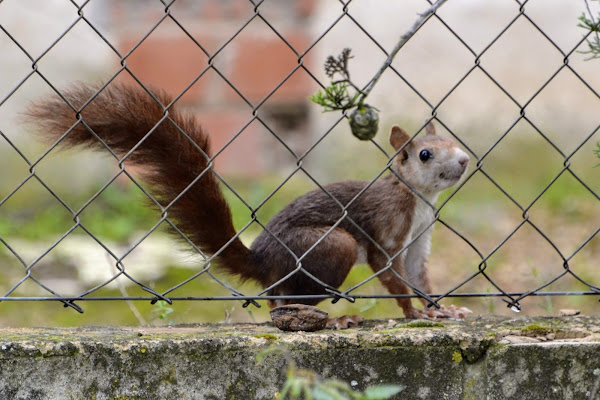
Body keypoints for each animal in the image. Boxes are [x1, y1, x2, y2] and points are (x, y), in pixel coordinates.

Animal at [25, 83, 472, 326]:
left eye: (451, 140)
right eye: (426, 154)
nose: (466, 159)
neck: (420, 201)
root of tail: (263, 263)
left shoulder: (419, 239)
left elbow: (418, 274)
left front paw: (441, 311)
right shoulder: (387, 226)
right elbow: (391, 273)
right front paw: (414, 314)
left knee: (277, 301)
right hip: (329, 246)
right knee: (284, 303)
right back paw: (335, 319)